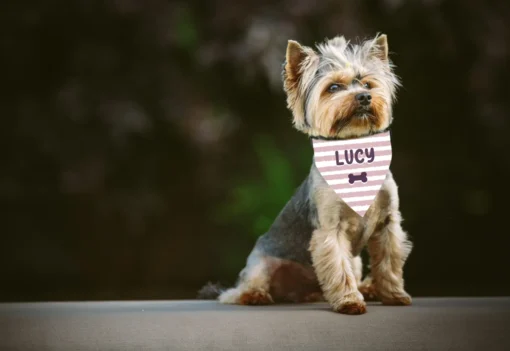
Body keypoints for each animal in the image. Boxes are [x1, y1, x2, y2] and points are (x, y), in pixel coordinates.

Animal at [197, 33, 412, 316]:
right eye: (333, 87)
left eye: (367, 83)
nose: (364, 97)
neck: (352, 151)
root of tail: (295, 291)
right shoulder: (330, 229)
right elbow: (338, 268)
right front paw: (349, 301)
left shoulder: (388, 224)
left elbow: (389, 264)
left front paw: (394, 294)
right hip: (261, 262)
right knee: (238, 290)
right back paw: (255, 295)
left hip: (351, 263)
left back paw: (365, 288)